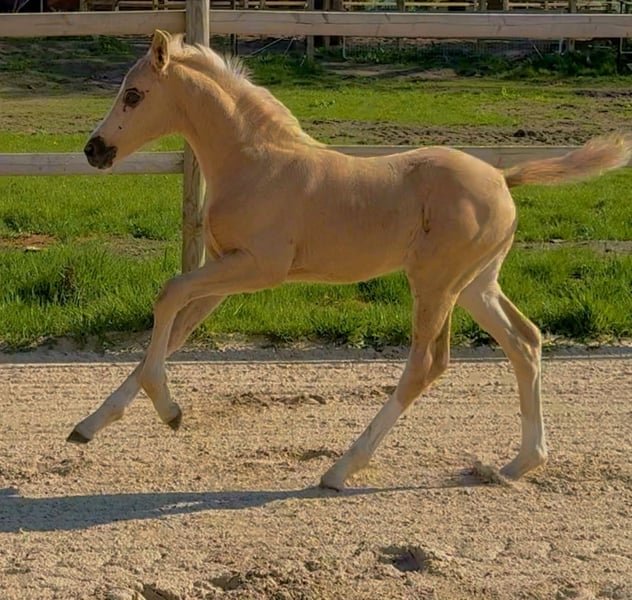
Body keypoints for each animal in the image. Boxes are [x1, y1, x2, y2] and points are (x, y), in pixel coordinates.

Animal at [70, 30, 632, 490]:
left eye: (134, 94)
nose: (94, 150)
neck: (256, 162)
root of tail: (502, 177)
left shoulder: (259, 269)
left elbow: (169, 294)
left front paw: (169, 410)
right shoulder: (226, 268)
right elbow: (176, 329)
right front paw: (90, 425)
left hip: (435, 284)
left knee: (426, 366)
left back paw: (341, 469)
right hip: (476, 284)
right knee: (525, 342)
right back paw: (520, 463)